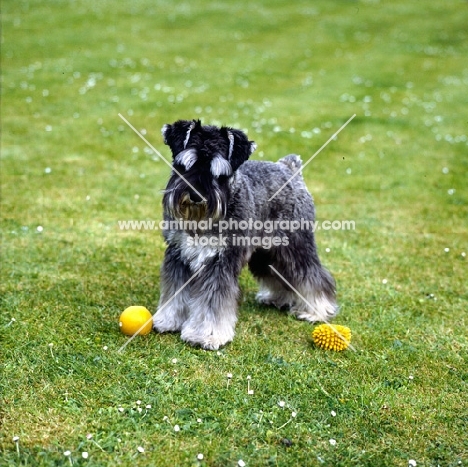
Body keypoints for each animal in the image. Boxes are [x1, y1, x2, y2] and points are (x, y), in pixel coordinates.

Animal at [152, 119, 338, 350]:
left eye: (219, 173)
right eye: (187, 165)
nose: (196, 195)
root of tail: (289, 167)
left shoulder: (221, 262)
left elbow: (213, 302)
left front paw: (207, 335)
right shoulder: (177, 254)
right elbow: (175, 291)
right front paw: (168, 320)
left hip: (295, 245)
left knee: (312, 274)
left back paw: (316, 311)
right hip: (266, 253)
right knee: (279, 273)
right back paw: (278, 298)